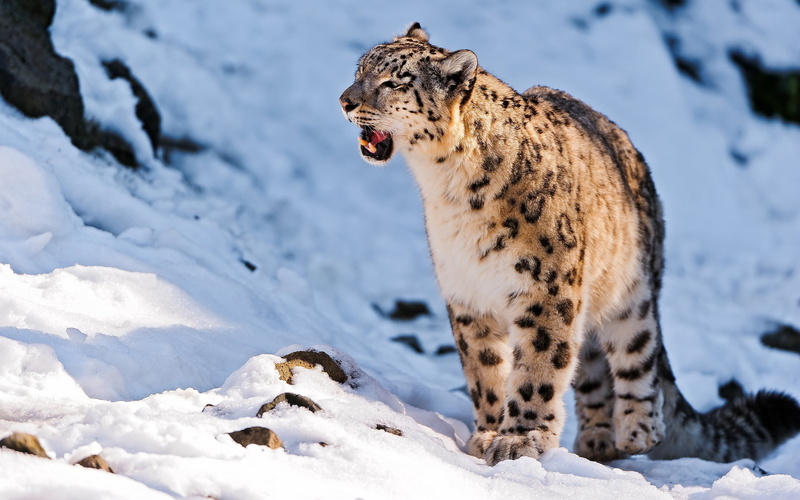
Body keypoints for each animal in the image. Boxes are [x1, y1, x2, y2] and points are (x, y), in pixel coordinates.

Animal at [340, 23, 800, 465]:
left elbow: (538, 366)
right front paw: (489, 431)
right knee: (592, 366)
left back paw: (636, 429)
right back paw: (597, 440)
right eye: (360, 70)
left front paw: (519, 439)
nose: (345, 101)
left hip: (629, 291)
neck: (447, 190)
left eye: (392, 82)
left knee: (641, 352)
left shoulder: (545, 288)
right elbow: (484, 370)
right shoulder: (467, 294)